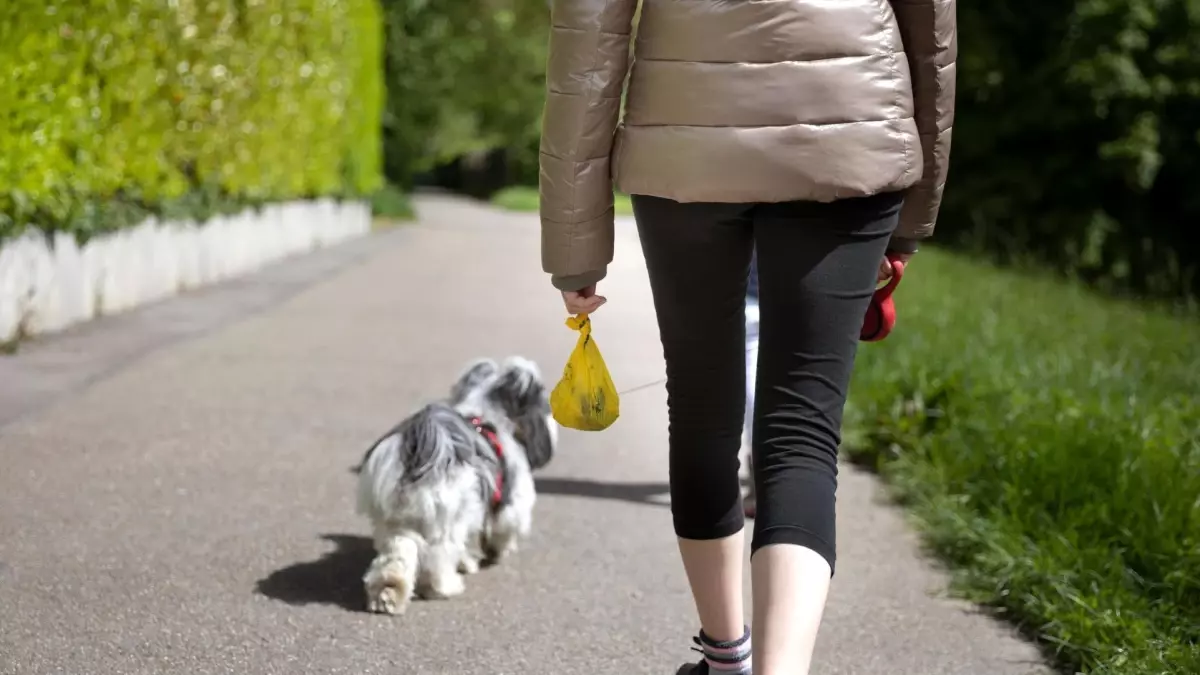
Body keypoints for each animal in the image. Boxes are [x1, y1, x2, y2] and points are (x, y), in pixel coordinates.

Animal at [355, 355, 556, 612]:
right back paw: (445, 587)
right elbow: (504, 528)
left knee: (396, 556)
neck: (486, 413)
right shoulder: (513, 502)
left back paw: (387, 594)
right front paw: (498, 552)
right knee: (438, 559)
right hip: (447, 522)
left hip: (397, 523)